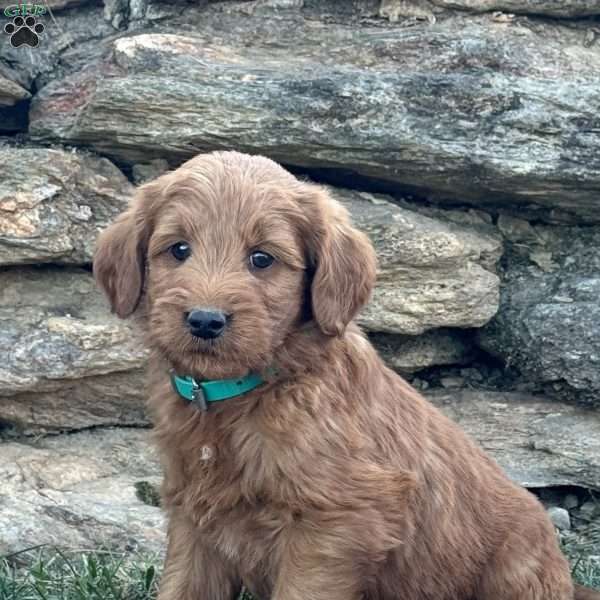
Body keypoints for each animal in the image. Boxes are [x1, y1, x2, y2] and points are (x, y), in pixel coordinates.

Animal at [94, 152, 596, 600]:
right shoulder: (194, 521)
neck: (245, 393)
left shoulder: (336, 524)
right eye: (178, 249)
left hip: (515, 567)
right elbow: (182, 587)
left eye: (262, 259)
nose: (204, 320)